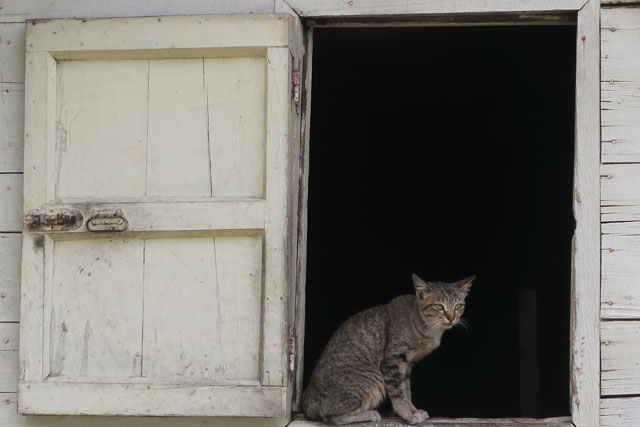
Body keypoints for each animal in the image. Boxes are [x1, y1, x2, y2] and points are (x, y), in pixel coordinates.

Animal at [302, 274, 476, 424]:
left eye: (458, 306)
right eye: (439, 306)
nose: (452, 318)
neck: (425, 326)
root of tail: (308, 401)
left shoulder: (407, 364)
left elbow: (406, 390)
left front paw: (414, 410)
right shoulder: (393, 360)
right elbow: (398, 393)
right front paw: (408, 415)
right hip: (373, 378)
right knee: (330, 417)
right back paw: (370, 414)